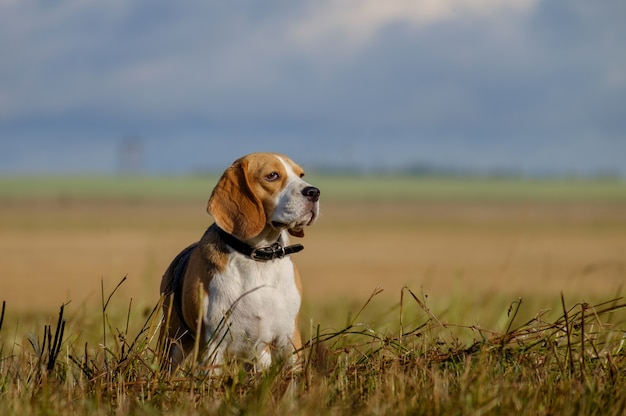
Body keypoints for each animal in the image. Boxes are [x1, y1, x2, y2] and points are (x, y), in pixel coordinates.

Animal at [158, 153, 320, 370]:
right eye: (272, 176)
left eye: (301, 174)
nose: (314, 192)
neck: (258, 257)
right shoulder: (213, 346)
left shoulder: (289, 339)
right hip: (172, 344)